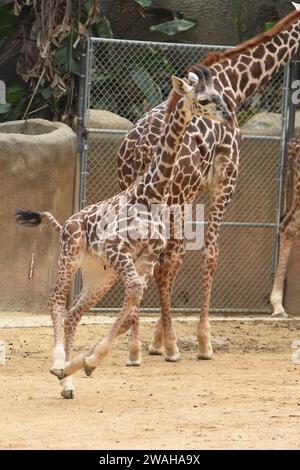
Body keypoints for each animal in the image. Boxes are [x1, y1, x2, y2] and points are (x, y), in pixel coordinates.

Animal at [16, 66, 232, 398]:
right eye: (205, 99)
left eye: (219, 94)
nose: (228, 117)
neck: (151, 193)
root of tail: (66, 224)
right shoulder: (116, 247)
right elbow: (133, 294)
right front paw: (93, 360)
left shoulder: (148, 253)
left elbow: (135, 295)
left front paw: (89, 362)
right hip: (70, 256)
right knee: (55, 302)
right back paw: (57, 364)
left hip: (99, 276)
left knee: (73, 313)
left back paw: (66, 379)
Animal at [118, 4, 300, 360]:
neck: (235, 85)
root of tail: (139, 149)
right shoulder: (223, 182)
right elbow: (210, 253)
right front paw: (203, 341)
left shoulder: (196, 192)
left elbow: (183, 258)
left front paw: (158, 339)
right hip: (174, 197)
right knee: (163, 260)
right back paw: (166, 344)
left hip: (136, 191)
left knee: (145, 258)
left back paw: (134, 339)